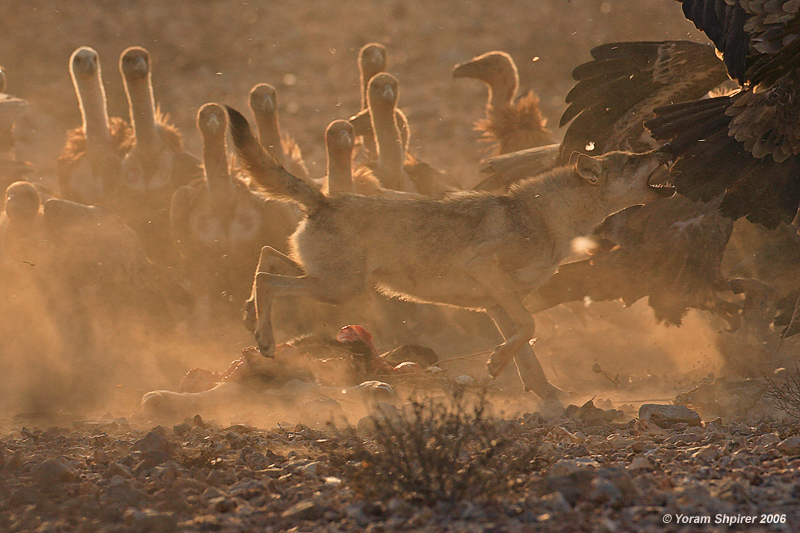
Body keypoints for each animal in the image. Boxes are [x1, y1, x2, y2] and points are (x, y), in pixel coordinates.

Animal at [228, 105, 672, 400]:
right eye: (632, 159)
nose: (664, 146)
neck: (550, 217)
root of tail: (323, 200)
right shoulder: (488, 272)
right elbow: (529, 328)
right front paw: (497, 365)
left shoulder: (497, 304)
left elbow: (527, 349)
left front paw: (546, 392)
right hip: (338, 288)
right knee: (268, 277)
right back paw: (264, 339)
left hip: (331, 282)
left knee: (266, 258)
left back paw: (250, 316)